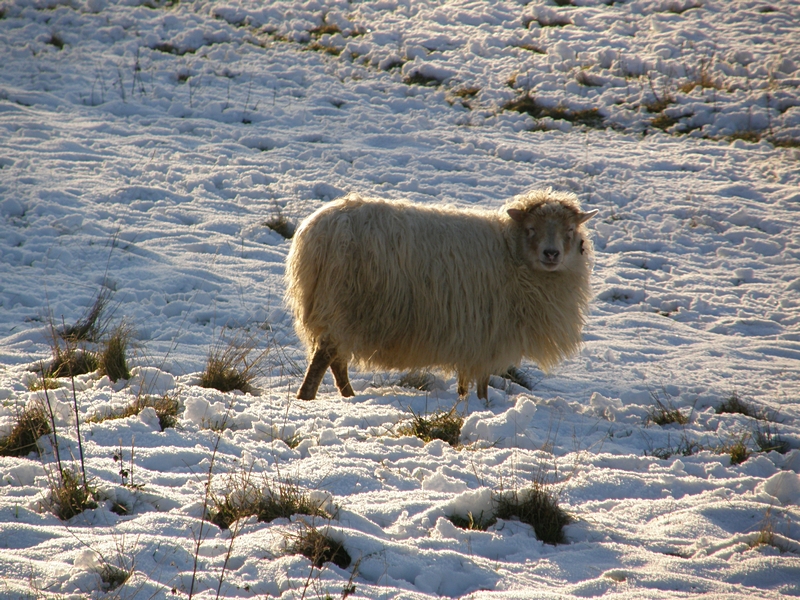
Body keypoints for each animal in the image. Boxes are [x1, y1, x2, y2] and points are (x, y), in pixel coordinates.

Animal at [284, 190, 596, 400]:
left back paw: (348, 396)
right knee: (324, 358)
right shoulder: (489, 333)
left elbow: (467, 380)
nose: (551, 254)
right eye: (531, 229)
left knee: (336, 359)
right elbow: (482, 381)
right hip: (340, 303)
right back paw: (308, 397)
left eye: (570, 230)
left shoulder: (475, 334)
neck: (511, 250)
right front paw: (482, 405)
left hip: (339, 310)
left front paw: (466, 401)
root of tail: (316, 232)